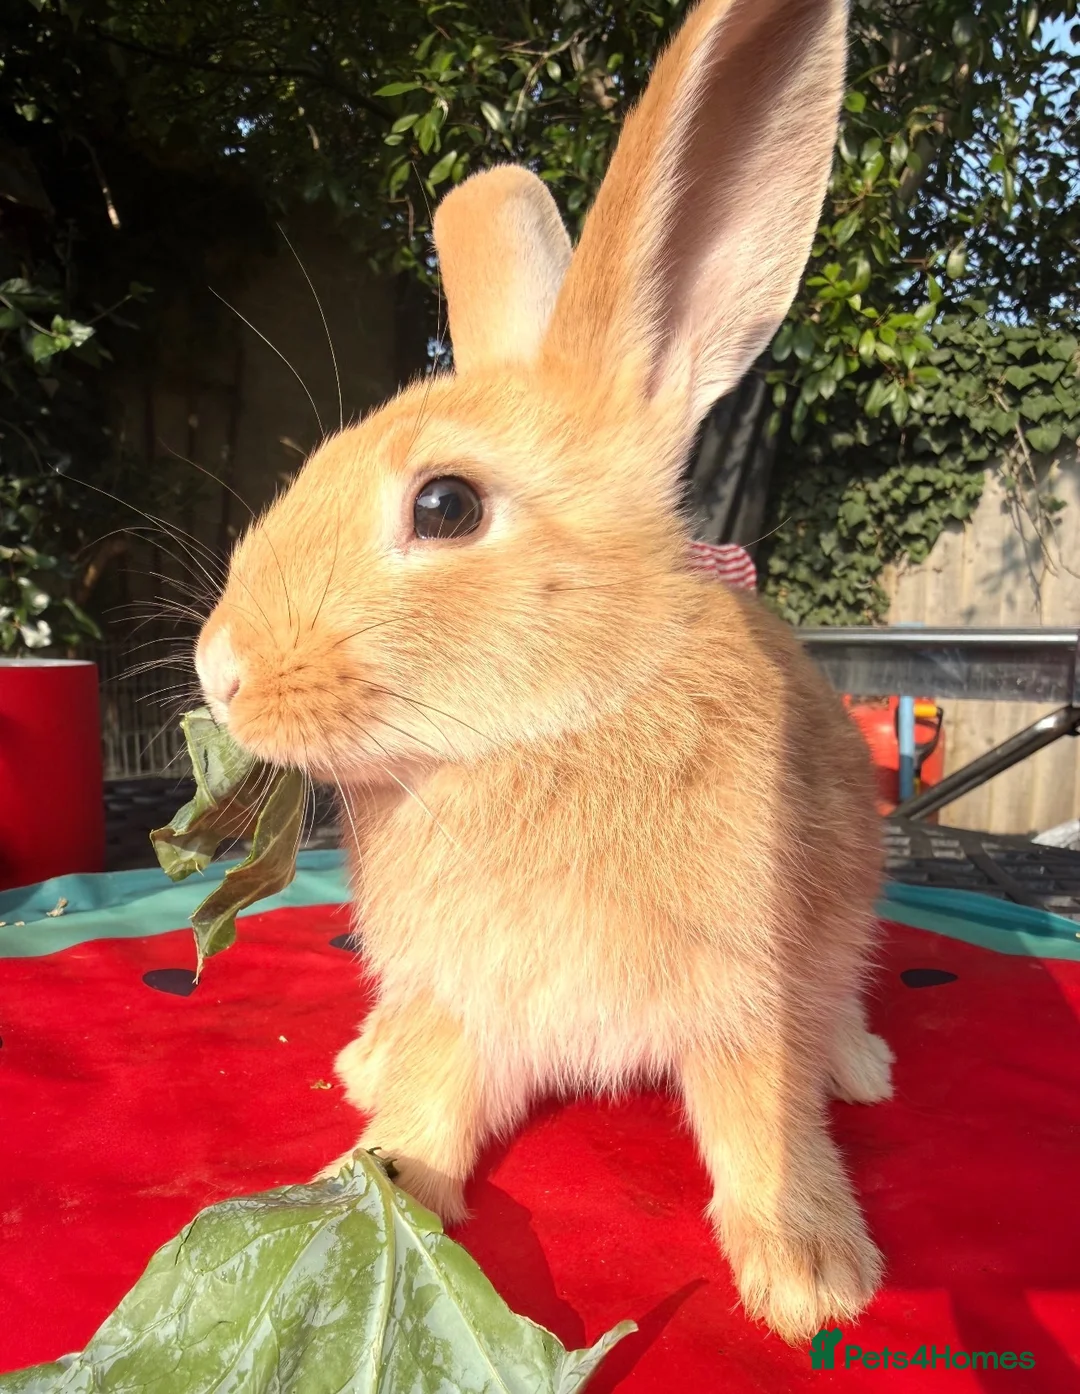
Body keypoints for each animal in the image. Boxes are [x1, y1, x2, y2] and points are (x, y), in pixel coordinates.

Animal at [195, 0, 893, 1344]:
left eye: (446, 505)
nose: (219, 670)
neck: (553, 725)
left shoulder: (749, 998)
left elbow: (763, 1127)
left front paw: (814, 1278)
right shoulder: (468, 994)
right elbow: (435, 1100)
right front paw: (375, 1185)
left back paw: (865, 1065)